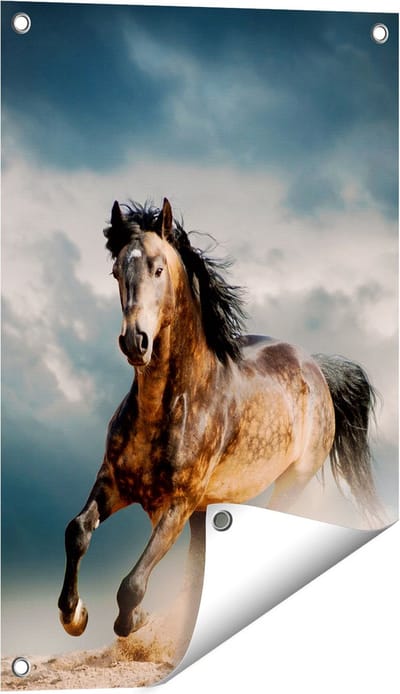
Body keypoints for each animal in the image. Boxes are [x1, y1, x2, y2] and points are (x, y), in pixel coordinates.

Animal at [58, 197, 380, 639]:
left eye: (158, 268)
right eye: (116, 270)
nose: (135, 341)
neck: (166, 407)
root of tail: (315, 366)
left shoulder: (177, 504)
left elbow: (133, 584)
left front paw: (134, 619)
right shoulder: (114, 483)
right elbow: (77, 531)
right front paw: (74, 614)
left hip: (290, 482)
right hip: (204, 509)